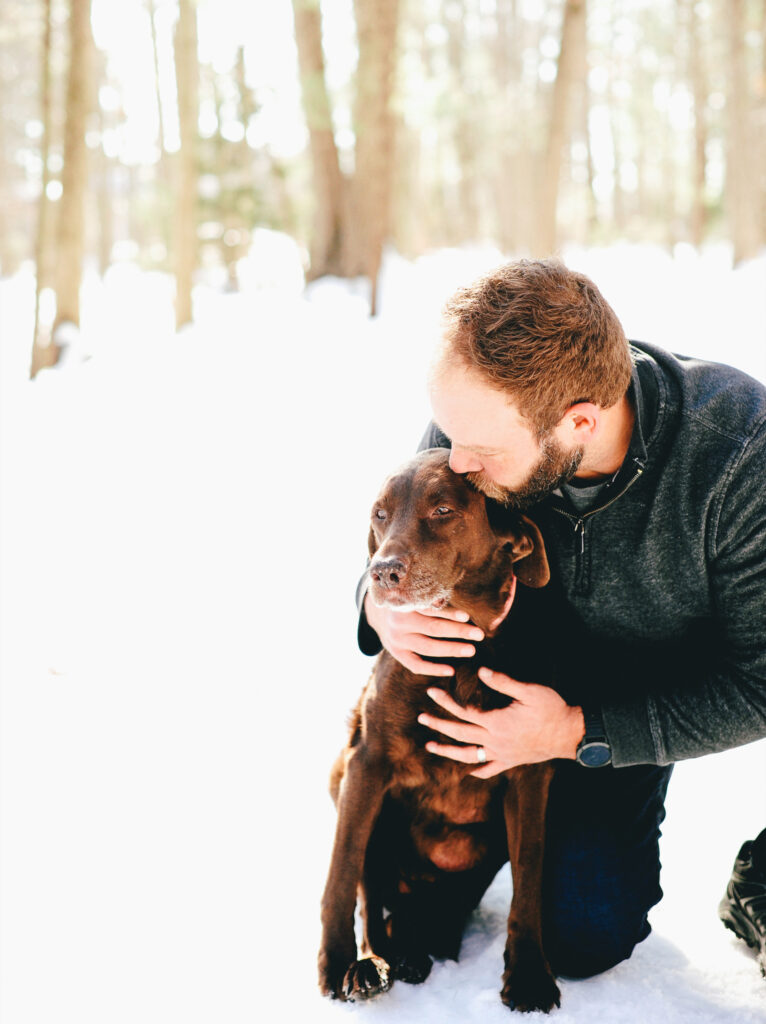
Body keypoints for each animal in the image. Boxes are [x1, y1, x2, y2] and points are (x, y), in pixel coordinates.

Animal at [317, 450, 561, 1015]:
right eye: (379, 515)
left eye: (443, 509)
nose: (382, 571)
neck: (461, 652)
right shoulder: (367, 762)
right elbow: (341, 875)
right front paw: (336, 966)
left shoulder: (529, 770)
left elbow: (530, 879)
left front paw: (529, 976)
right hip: (347, 778)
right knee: (372, 895)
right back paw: (375, 964)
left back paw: (416, 949)